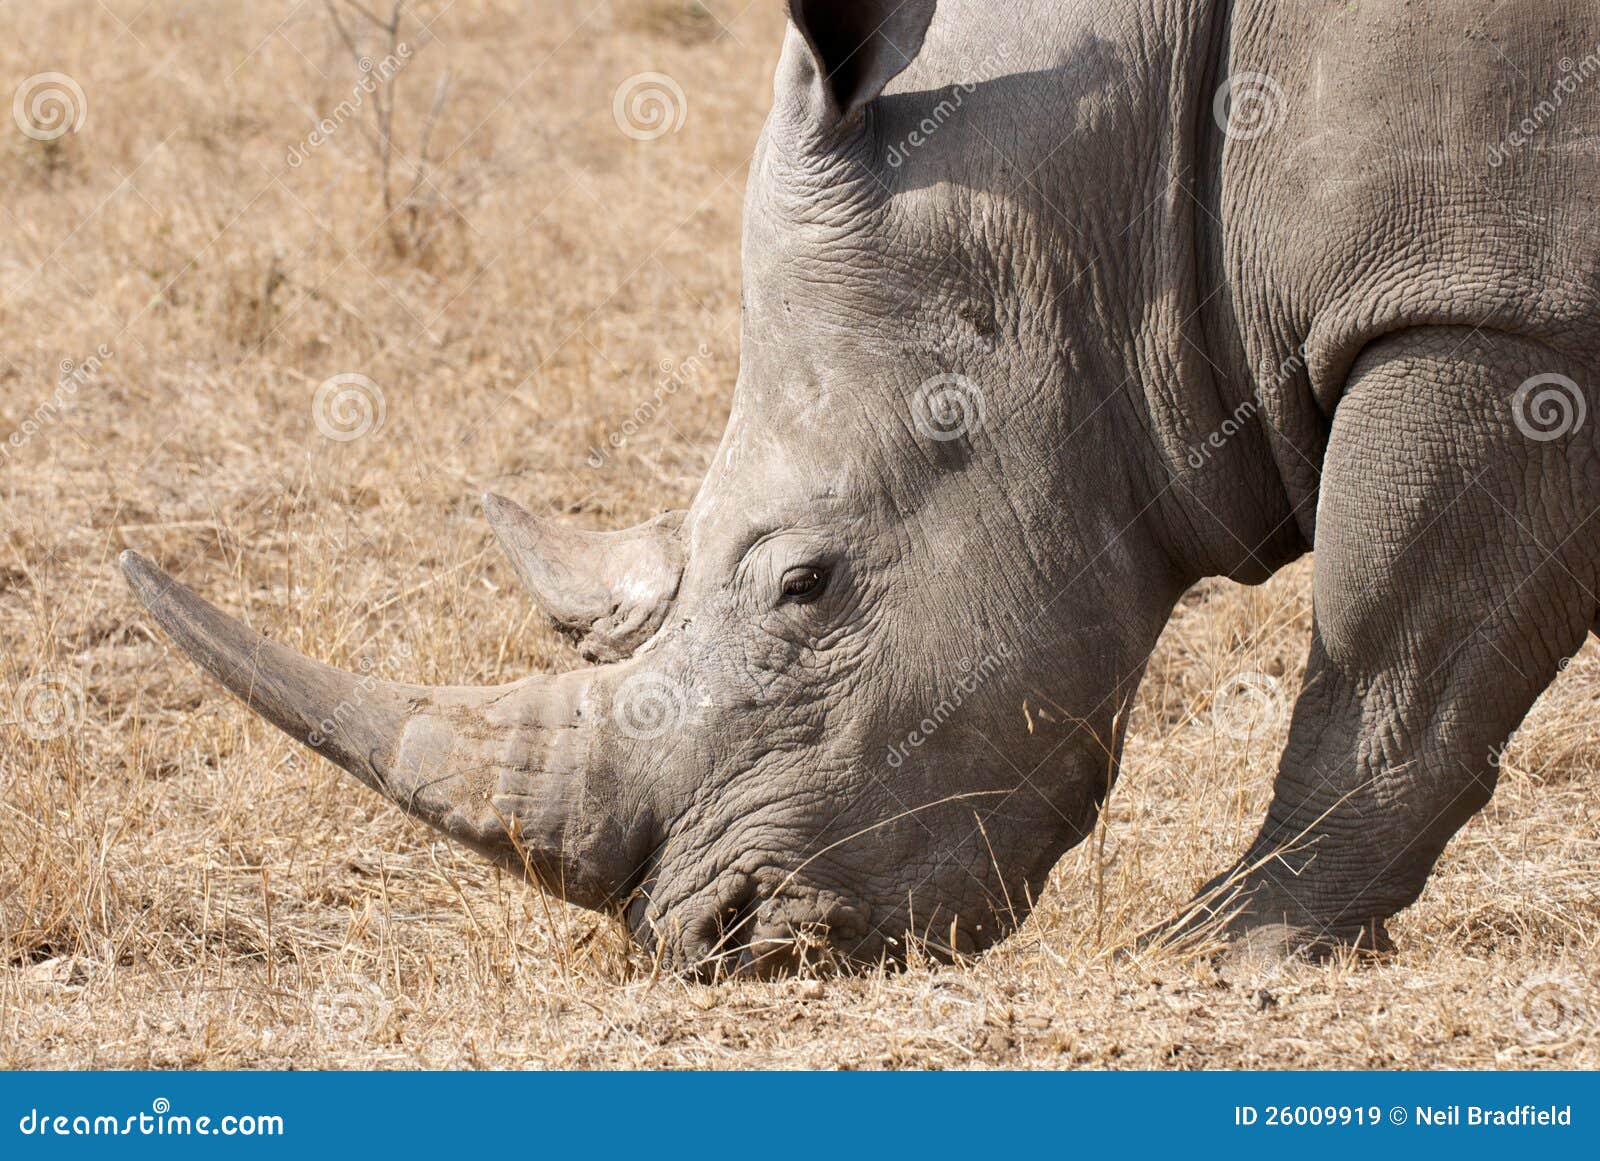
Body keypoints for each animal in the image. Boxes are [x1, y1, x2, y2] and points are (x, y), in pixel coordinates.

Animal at [122, 0, 1600, 974]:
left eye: (806, 584)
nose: (710, 944)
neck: (1111, 181)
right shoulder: (1501, 298)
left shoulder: (1487, 306)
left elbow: (1393, 651)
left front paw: (1218, 949)